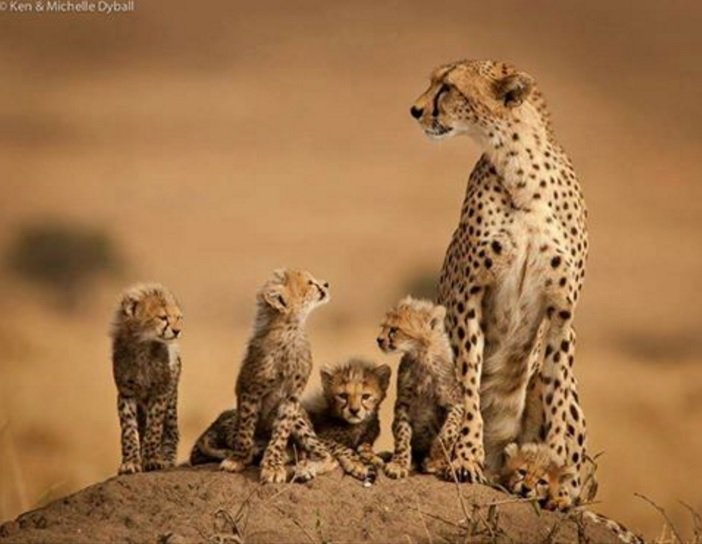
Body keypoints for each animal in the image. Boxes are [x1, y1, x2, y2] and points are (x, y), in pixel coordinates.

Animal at [111, 283, 183, 475]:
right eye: (163, 317)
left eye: (179, 317)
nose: (177, 331)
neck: (144, 345)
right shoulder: (126, 392)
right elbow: (129, 430)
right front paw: (130, 462)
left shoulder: (160, 392)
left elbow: (154, 428)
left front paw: (152, 460)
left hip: (172, 401)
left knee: (171, 431)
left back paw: (167, 460)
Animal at [219, 268, 334, 483]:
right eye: (310, 283)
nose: (326, 284)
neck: (289, 329)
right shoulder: (250, 391)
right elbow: (245, 431)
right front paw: (238, 459)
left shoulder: (291, 397)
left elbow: (280, 433)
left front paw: (272, 466)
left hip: (300, 419)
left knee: (327, 456)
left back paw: (305, 468)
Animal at [376, 296, 464, 480]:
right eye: (383, 327)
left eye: (394, 330)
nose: (379, 340)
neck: (422, 355)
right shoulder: (403, 403)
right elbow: (402, 433)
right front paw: (398, 464)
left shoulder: (456, 402)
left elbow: (449, 430)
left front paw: (435, 461)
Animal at [410, 59, 590, 505]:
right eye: (433, 81)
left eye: (448, 87)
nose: (415, 110)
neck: (520, 170)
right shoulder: (466, 297)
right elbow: (468, 384)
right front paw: (465, 457)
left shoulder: (561, 313)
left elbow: (558, 398)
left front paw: (557, 481)